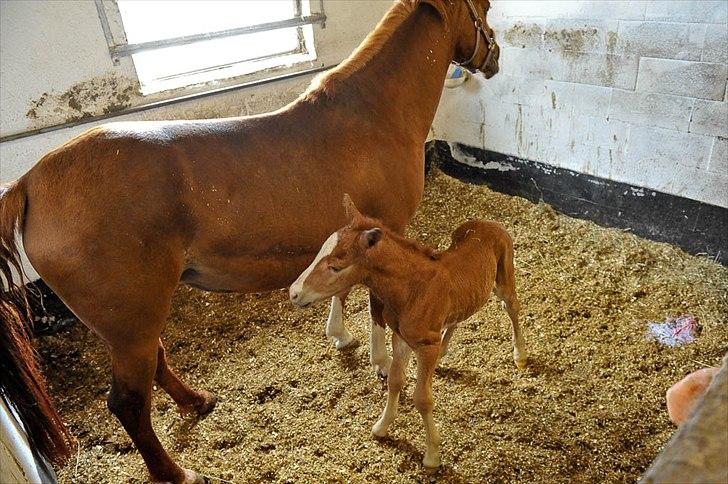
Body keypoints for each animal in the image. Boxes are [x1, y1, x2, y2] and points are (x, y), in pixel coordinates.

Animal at [292, 195, 528, 466]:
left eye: (336, 266)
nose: (293, 293)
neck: (412, 289)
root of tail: (490, 222)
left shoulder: (425, 348)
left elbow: (422, 398)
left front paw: (432, 454)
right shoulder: (401, 338)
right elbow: (395, 380)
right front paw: (381, 427)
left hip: (504, 275)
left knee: (511, 305)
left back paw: (520, 356)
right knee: (458, 317)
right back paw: (445, 350)